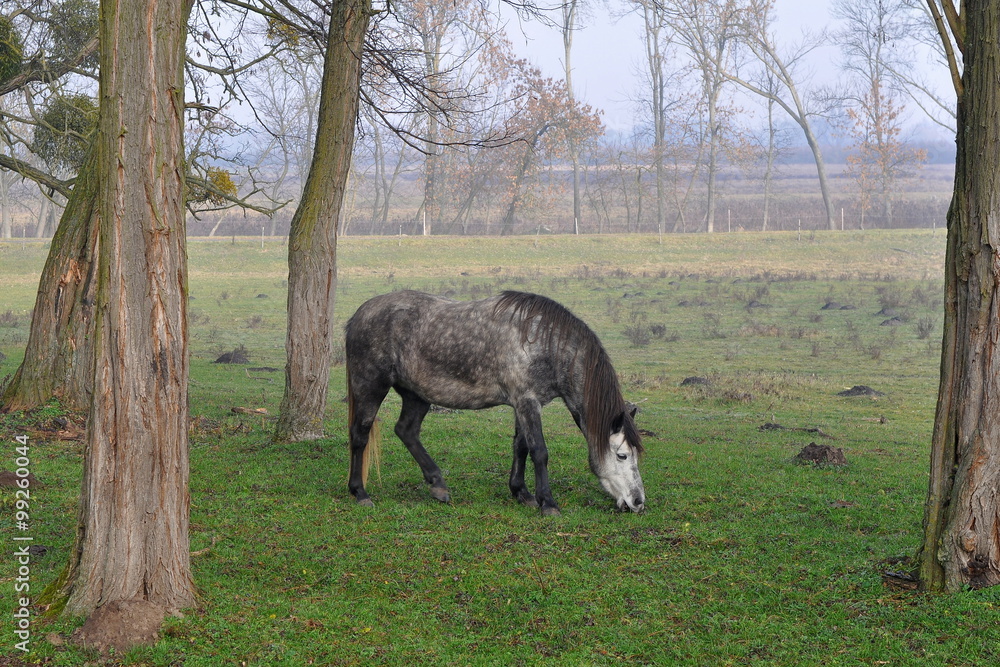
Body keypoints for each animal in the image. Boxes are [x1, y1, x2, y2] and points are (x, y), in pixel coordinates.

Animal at [344, 290, 646, 515]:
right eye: (622, 455)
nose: (638, 502)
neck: (542, 342)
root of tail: (358, 315)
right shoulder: (526, 401)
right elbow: (539, 451)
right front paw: (548, 503)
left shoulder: (524, 404)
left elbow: (520, 446)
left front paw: (521, 492)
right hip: (371, 387)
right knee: (360, 434)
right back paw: (360, 492)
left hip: (416, 395)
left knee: (406, 431)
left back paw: (438, 484)